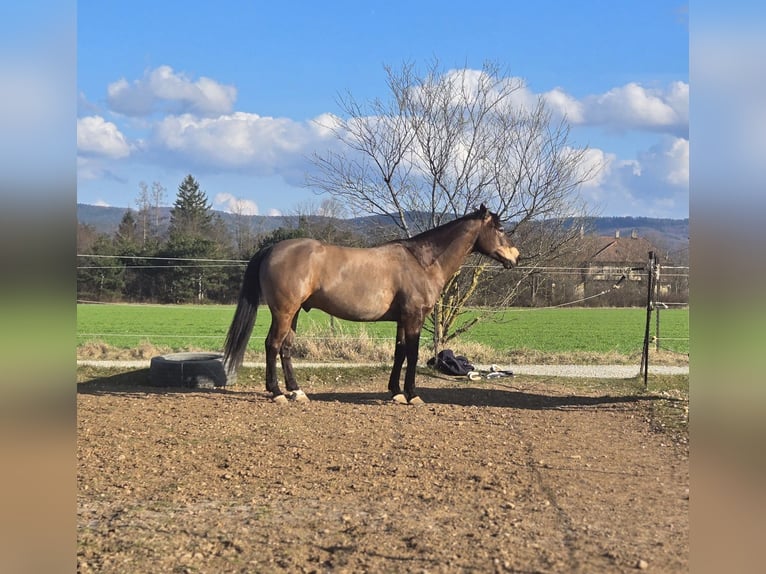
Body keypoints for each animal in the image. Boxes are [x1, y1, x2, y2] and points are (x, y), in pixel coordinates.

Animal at [223, 204, 519, 405]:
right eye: (500, 228)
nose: (515, 257)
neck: (421, 261)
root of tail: (272, 249)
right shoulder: (414, 317)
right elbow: (412, 354)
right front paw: (412, 394)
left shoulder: (402, 319)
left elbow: (399, 353)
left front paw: (396, 392)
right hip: (283, 312)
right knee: (272, 345)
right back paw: (276, 393)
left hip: (293, 313)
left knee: (285, 348)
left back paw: (296, 391)